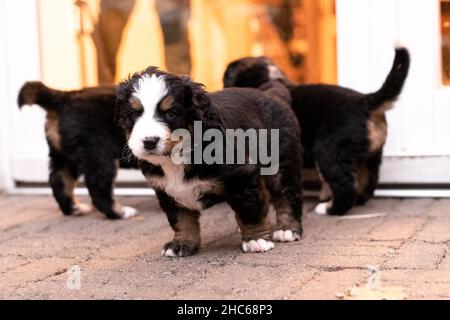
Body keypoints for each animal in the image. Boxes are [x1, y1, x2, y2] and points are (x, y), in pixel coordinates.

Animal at [17, 82, 138, 220]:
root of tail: (65, 97)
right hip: (100, 150)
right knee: (98, 184)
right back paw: (120, 212)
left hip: (65, 155)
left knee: (59, 180)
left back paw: (74, 209)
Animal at [116, 66, 306, 256]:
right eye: (134, 114)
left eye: (171, 113)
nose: (149, 141)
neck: (176, 157)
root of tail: (271, 94)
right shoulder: (166, 190)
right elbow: (181, 219)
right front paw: (181, 244)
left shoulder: (242, 175)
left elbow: (249, 211)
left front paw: (256, 239)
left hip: (281, 162)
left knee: (286, 194)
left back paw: (287, 229)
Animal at [223, 47, 410, 216]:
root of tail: (365, 101)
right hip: (371, 156)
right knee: (367, 184)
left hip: (328, 151)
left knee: (345, 186)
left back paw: (328, 209)